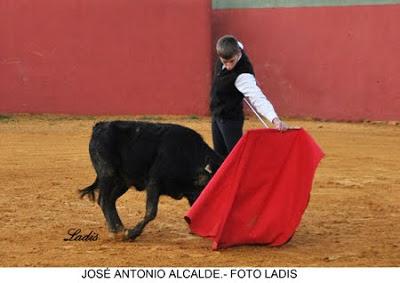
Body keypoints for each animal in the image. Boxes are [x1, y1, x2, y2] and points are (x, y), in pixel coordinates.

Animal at [78, 121, 222, 241]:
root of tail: (99, 126)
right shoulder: (154, 182)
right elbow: (151, 212)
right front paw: (132, 234)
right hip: (108, 173)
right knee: (104, 200)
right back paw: (115, 231)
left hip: (123, 181)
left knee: (110, 201)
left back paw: (119, 229)